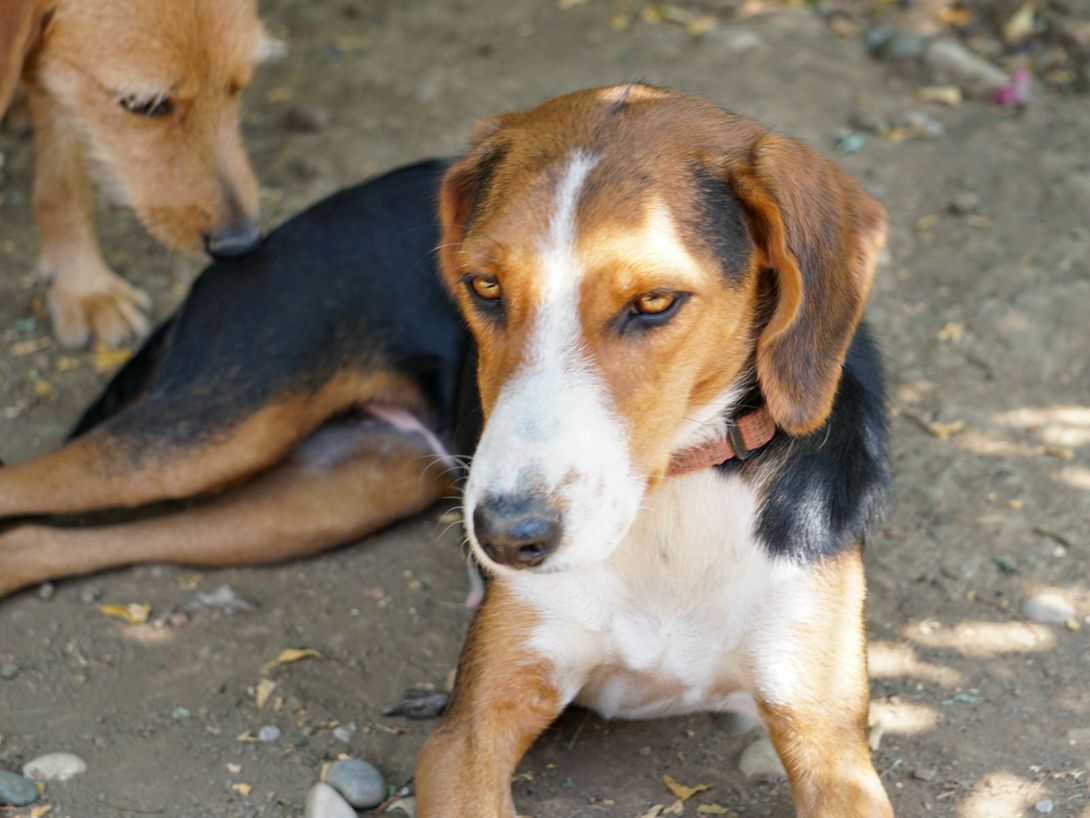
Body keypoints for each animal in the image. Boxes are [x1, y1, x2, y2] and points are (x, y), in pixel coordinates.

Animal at [0, 0, 277, 348]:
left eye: (236, 87)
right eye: (143, 105)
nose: (242, 243)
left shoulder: (64, 87)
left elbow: (63, 185)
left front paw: (85, 288)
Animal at [0, 85, 893, 817]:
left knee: (51, 537)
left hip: (315, 500)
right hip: (209, 428)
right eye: (483, 286)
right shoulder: (469, 732)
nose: (504, 538)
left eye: (654, 302)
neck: (671, 504)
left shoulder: (829, 743)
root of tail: (268, 236)